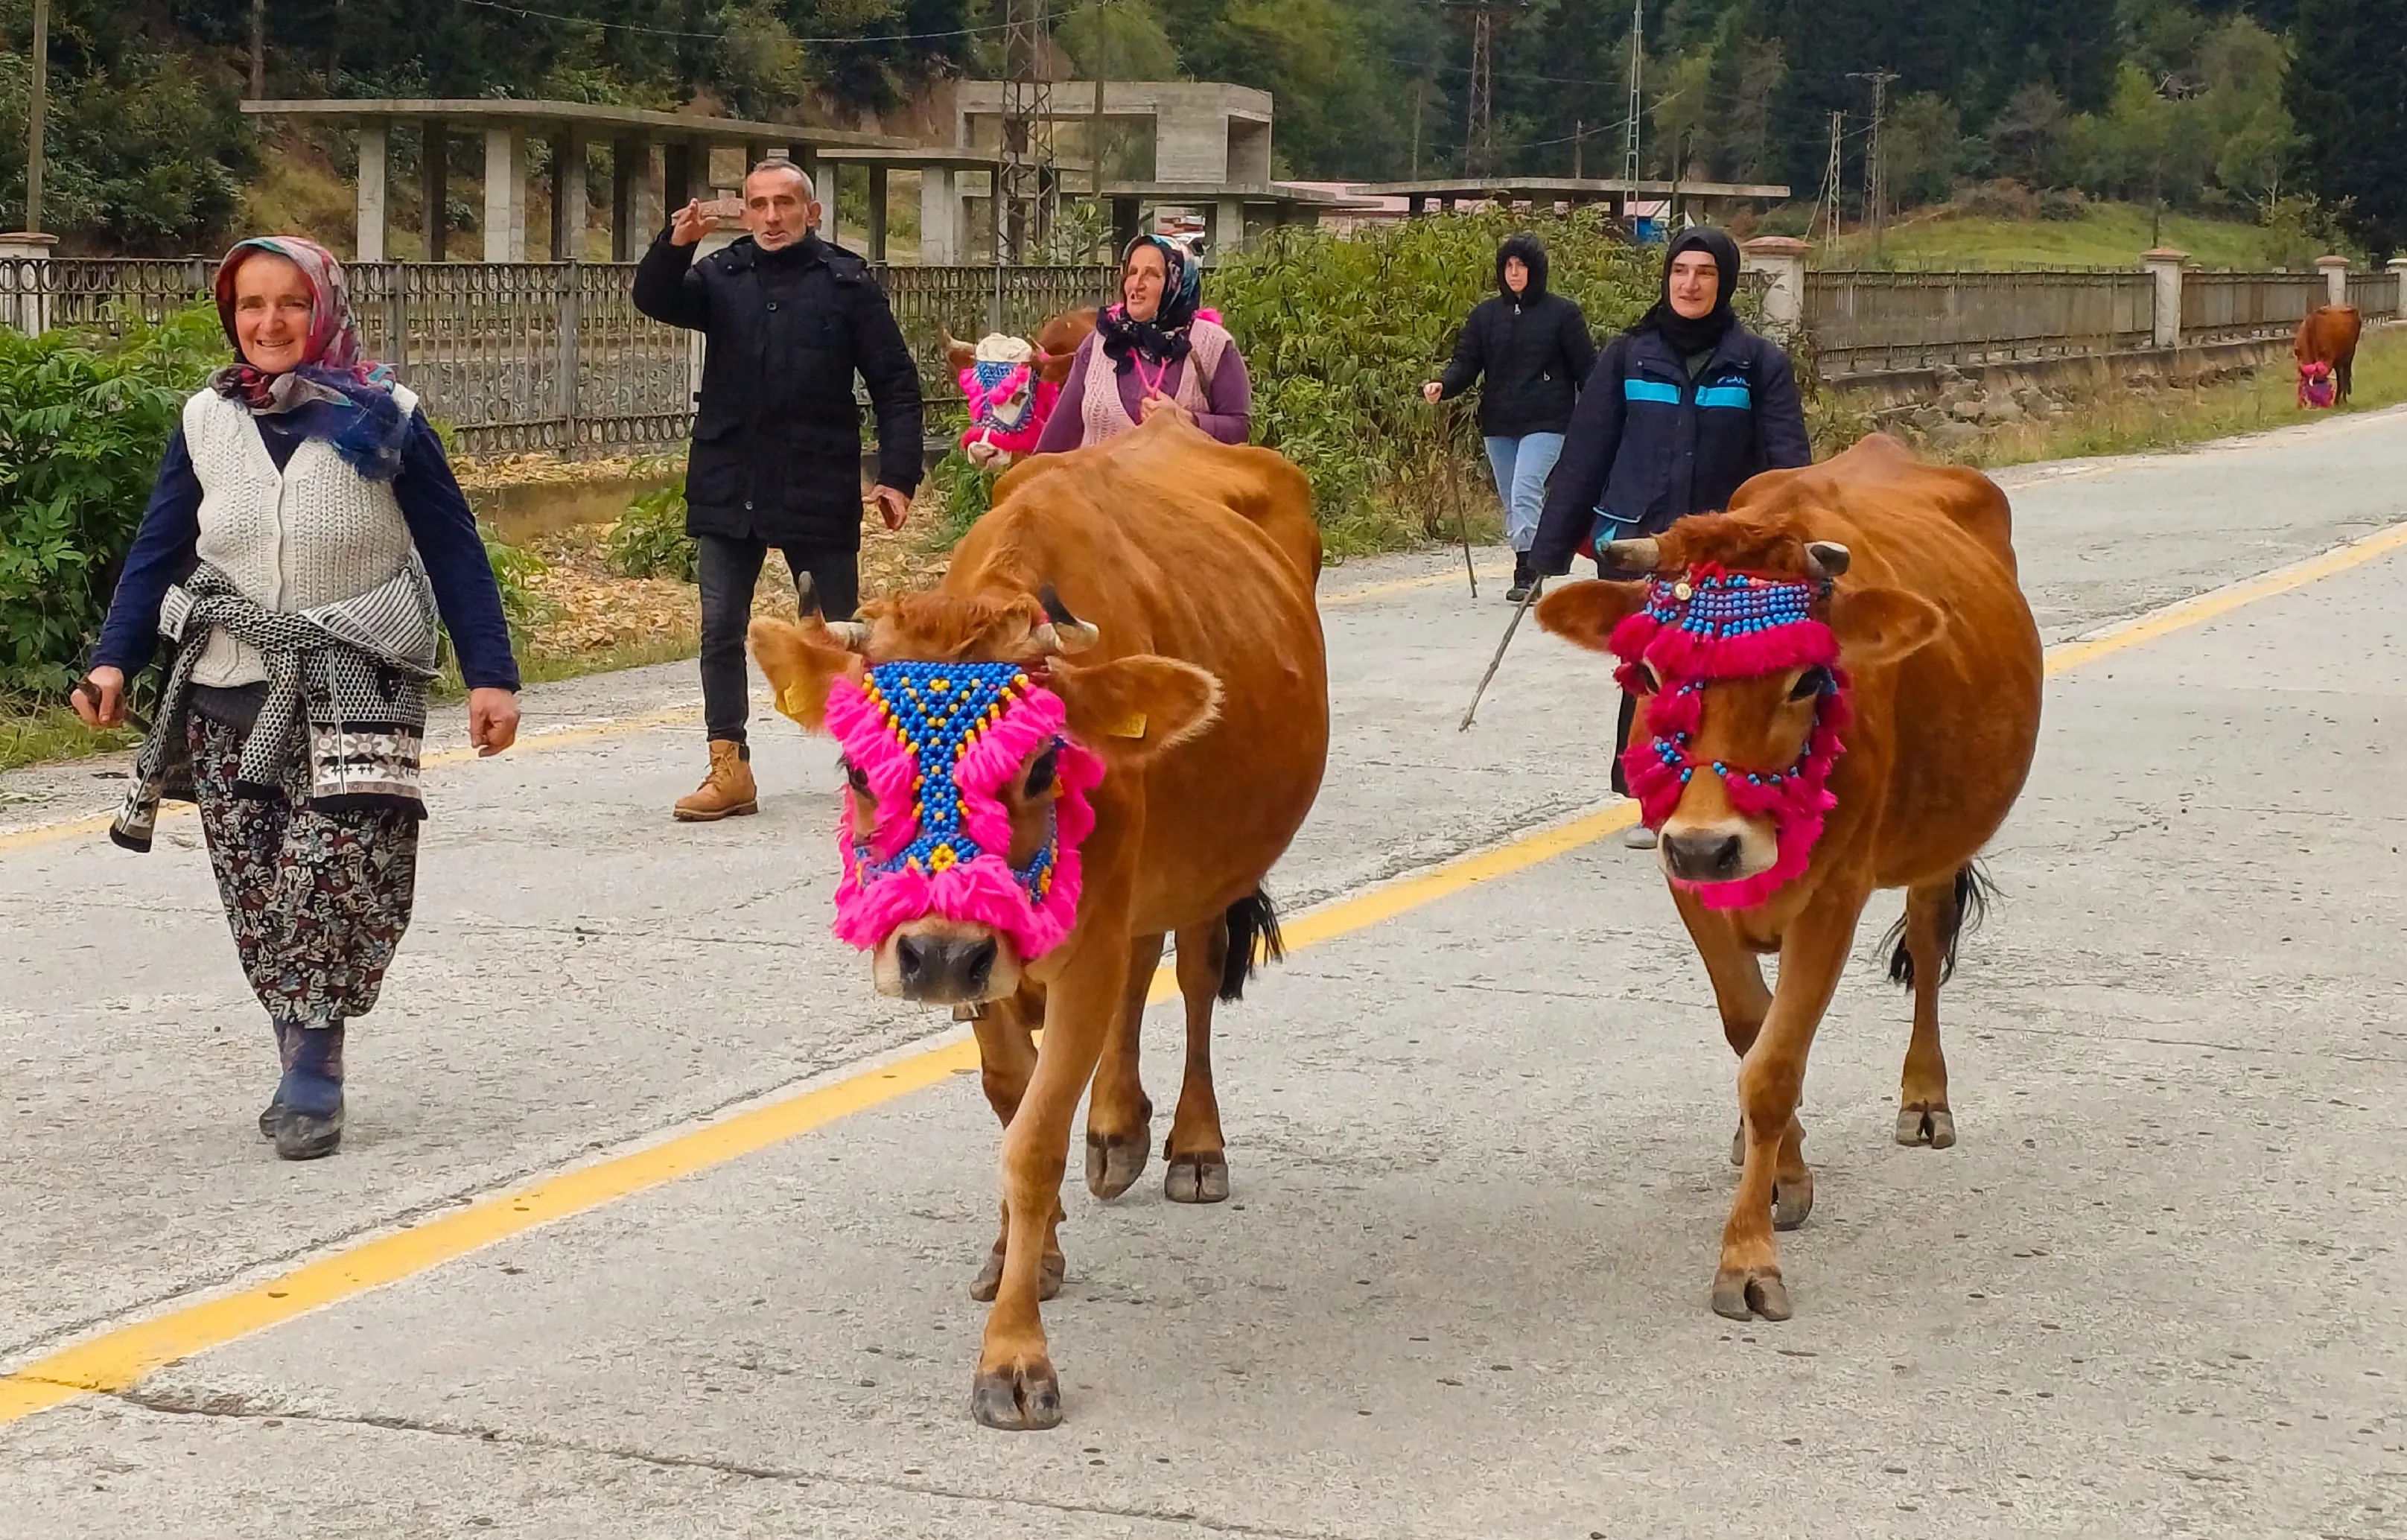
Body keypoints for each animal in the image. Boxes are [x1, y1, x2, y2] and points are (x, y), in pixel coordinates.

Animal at [745, 411, 1329, 1434]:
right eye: (858, 767)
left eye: (1042, 764)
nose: (935, 957)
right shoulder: (986, 962)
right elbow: (1009, 1096)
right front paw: (1028, 1252)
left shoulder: (1074, 945)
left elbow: (1032, 1141)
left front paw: (1013, 1358)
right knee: (1143, 968)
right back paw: (1119, 1132)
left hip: (1212, 868)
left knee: (1196, 972)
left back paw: (1192, 1147)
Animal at [1540, 433, 2031, 1328]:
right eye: (1650, 675)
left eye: (1806, 679)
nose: (1710, 847)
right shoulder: (1685, 883)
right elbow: (1749, 1028)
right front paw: (1780, 1171)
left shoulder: (1835, 894)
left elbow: (1773, 1069)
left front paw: (1748, 1260)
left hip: (1938, 845)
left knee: (1928, 939)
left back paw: (1925, 1100)